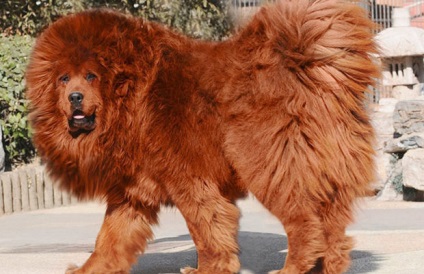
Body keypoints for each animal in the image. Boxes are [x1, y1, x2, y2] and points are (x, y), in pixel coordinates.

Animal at [24, 0, 380, 274]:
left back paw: (291, 268)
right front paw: (90, 269)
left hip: (270, 166)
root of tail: (305, 65)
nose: (74, 97)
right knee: (333, 232)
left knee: (306, 225)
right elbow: (109, 239)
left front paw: (208, 269)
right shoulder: (131, 193)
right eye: (63, 78)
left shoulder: (190, 181)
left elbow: (205, 229)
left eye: (90, 76)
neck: (130, 99)